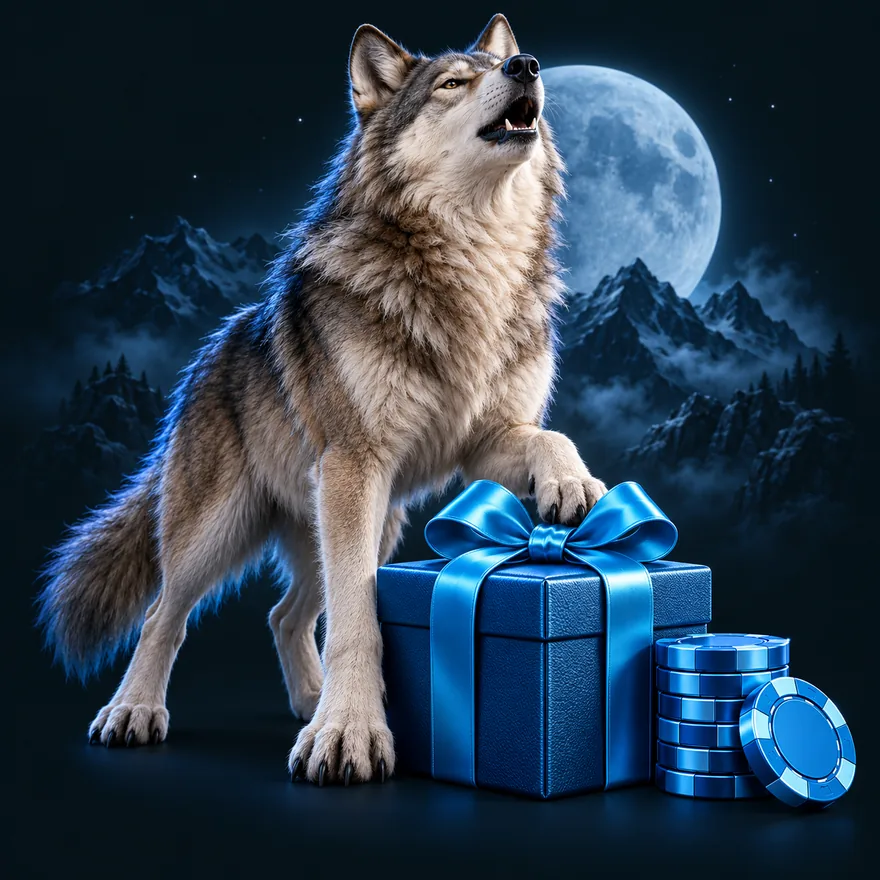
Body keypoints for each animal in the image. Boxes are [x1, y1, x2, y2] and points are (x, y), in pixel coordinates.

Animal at [38, 13, 607, 786]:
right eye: (453, 83)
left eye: (499, 67)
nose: (528, 66)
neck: (473, 264)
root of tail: (209, 353)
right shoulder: (356, 464)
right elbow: (357, 616)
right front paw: (349, 733)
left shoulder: (484, 444)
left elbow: (551, 438)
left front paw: (571, 483)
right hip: (225, 529)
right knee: (167, 614)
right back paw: (134, 711)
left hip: (365, 517)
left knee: (286, 613)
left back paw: (309, 699)